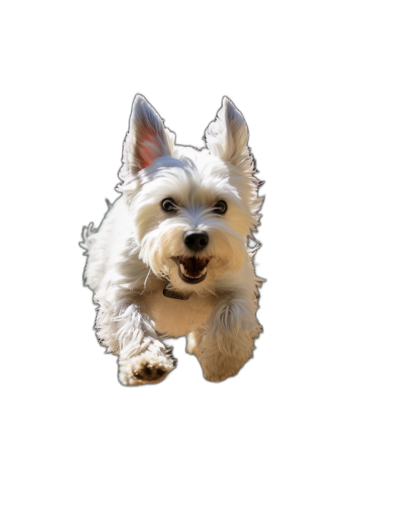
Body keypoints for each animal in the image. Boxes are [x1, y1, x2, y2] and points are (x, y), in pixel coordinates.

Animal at [80, 95, 262, 386]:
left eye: (221, 206)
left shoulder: (238, 281)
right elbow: (130, 319)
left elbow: (232, 314)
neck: (178, 284)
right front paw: (146, 363)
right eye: (167, 204)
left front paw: (220, 364)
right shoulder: (121, 288)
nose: (196, 238)